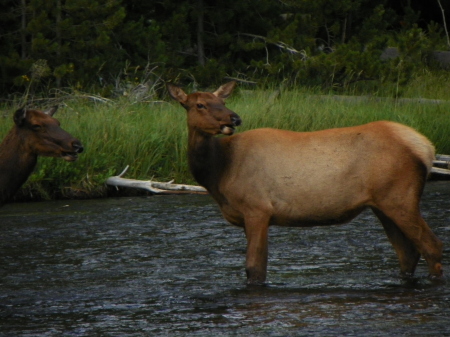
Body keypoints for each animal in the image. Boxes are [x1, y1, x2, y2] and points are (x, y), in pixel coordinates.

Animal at [168, 81, 442, 284]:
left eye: (223, 102)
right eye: (200, 104)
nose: (234, 119)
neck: (219, 171)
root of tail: (426, 147)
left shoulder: (258, 208)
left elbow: (255, 268)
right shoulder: (250, 216)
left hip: (401, 197)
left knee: (432, 246)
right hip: (382, 204)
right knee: (408, 253)